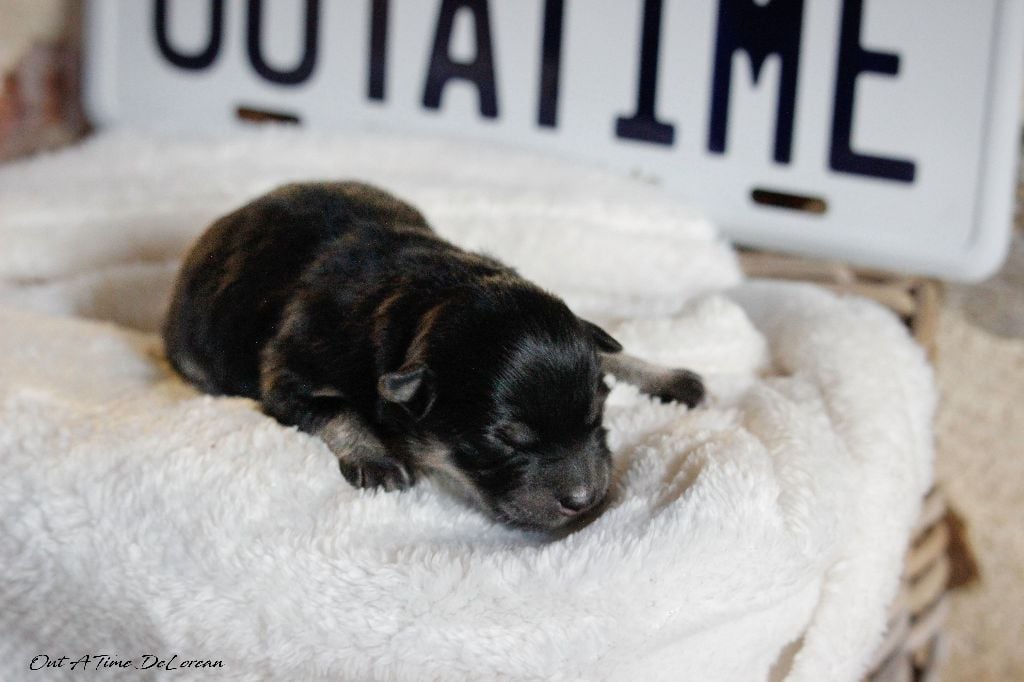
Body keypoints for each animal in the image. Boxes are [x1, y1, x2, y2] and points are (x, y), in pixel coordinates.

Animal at [163, 182, 704, 531]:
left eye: (597, 416)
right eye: (506, 441)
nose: (585, 501)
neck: (432, 292)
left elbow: (609, 352)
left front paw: (666, 376)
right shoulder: (286, 373)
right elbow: (334, 406)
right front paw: (375, 456)